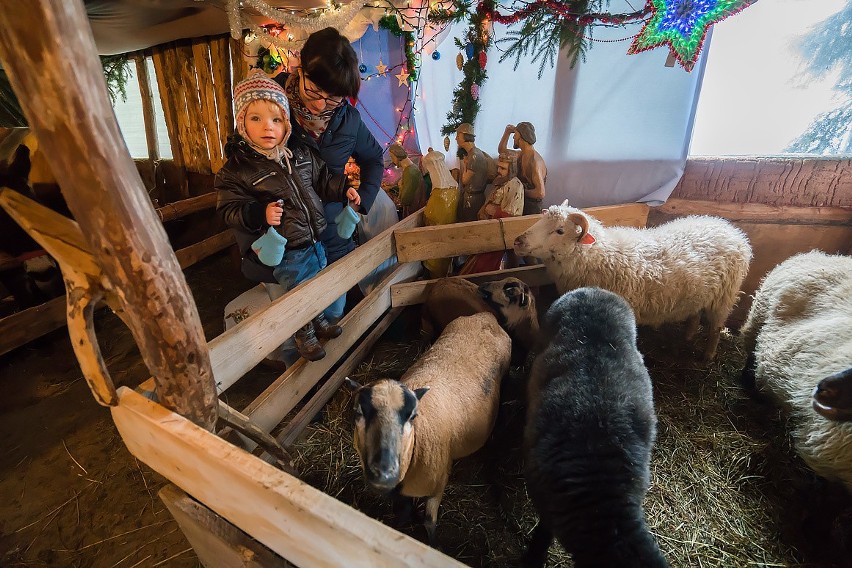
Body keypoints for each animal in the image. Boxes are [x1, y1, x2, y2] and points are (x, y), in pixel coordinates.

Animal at [344, 312, 510, 544]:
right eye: (357, 412)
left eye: (412, 416)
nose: (384, 472)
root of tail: (486, 315)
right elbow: (403, 513)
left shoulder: (438, 484)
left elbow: (429, 521)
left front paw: (432, 543)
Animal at [510, 201, 748, 360]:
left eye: (559, 230)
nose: (518, 241)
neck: (597, 255)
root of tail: (731, 230)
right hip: (701, 293)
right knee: (696, 314)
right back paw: (688, 336)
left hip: (724, 297)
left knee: (716, 328)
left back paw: (708, 355)